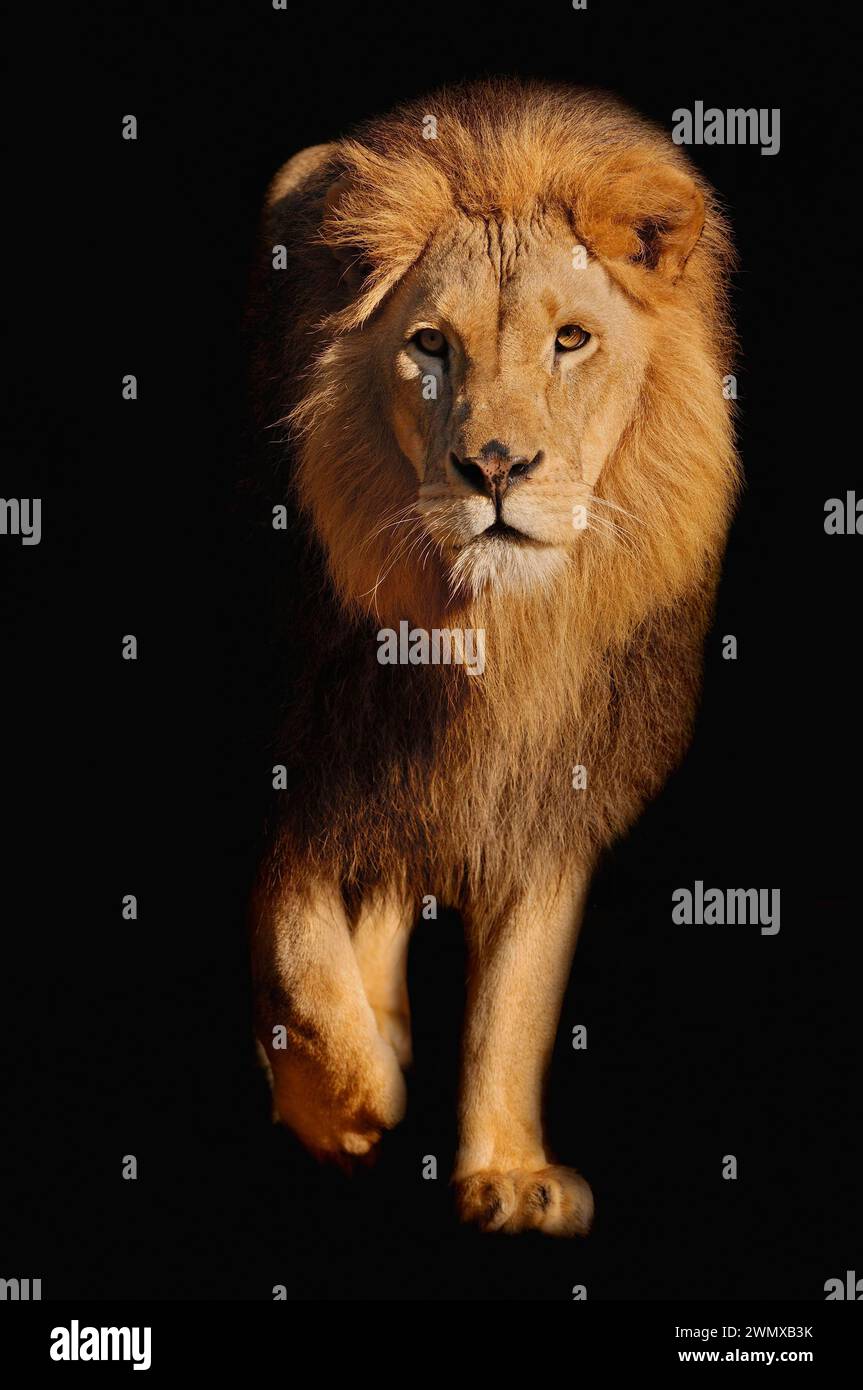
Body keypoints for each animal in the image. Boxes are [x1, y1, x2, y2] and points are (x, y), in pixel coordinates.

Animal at [246, 78, 739, 1236]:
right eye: (428, 344)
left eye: (571, 340)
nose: (497, 467)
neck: (488, 633)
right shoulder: (304, 754)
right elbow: (290, 934)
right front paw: (344, 1102)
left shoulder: (547, 790)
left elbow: (515, 1001)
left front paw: (507, 1170)